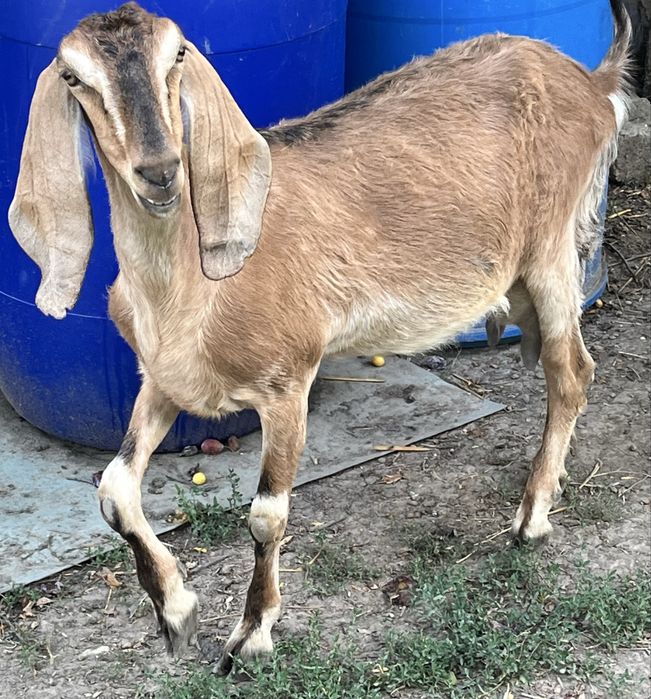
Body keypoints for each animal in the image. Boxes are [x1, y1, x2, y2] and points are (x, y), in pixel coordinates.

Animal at [9, 0, 630, 674]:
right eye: (73, 77)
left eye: (177, 54)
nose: (160, 170)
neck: (192, 290)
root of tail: (591, 83)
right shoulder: (163, 380)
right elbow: (114, 491)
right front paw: (176, 615)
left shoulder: (286, 384)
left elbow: (265, 516)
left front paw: (251, 635)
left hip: (550, 252)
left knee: (572, 372)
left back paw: (533, 515)